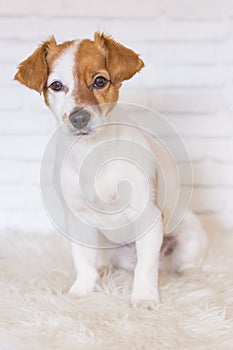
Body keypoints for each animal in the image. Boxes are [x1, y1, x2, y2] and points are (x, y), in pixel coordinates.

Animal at [14, 31, 208, 308]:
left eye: (99, 81)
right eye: (56, 86)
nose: (79, 118)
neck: (93, 153)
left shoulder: (148, 217)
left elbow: (145, 269)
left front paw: (144, 298)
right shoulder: (78, 219)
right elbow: (84, 263)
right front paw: (80, 292)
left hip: (189, 238)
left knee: (182, 263)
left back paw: (189, 275)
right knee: (105, 261)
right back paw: (104, 269)